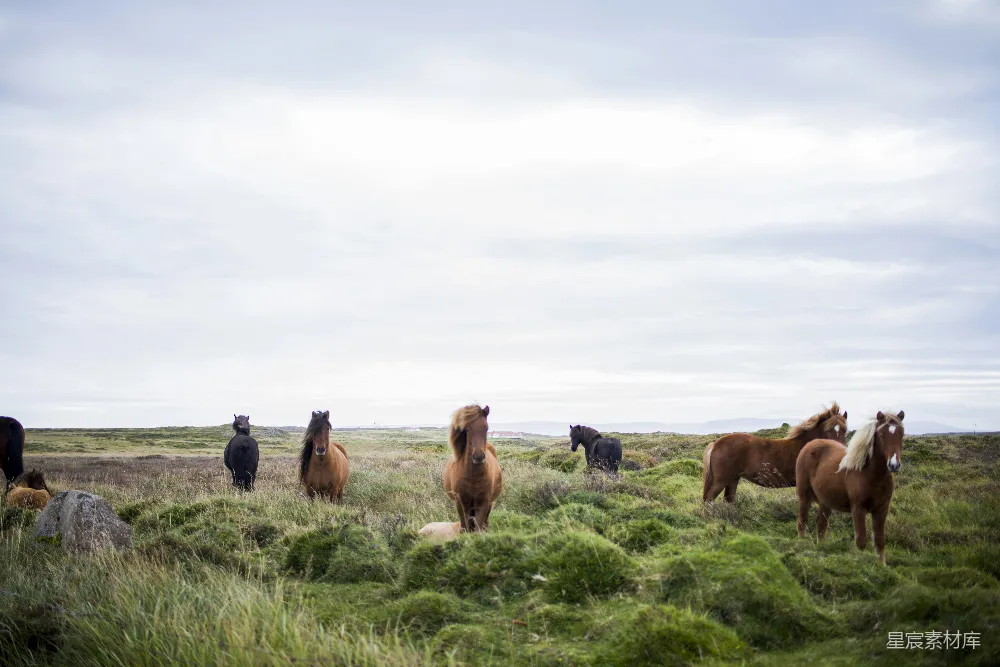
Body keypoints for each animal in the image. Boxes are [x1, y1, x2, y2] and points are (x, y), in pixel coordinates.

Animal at [443, 404, 503, 532]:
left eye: (486, 428)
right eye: (467, 429)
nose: (478, 456)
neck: (473, 476)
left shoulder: (483, 502)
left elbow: (478, 529)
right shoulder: (461, 503)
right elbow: (465, 527)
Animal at [702, 402, 847, 503]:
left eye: (844, 430)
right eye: (829, 430)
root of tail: (716, 444)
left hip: (733, 479)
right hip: (721, 480)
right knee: (709, 499)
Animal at [796, 410, 905, 566]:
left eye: (901, 434)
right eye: (881, 435)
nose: (894, 465)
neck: (871, 475)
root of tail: (810, 444)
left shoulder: (882, 509)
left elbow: (880, 540)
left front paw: (882, 567)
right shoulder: (858, 509)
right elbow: (861, 541)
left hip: (825, 501)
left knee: (821, 525)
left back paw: (820, 549)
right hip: (804, 496)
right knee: (802, 521)